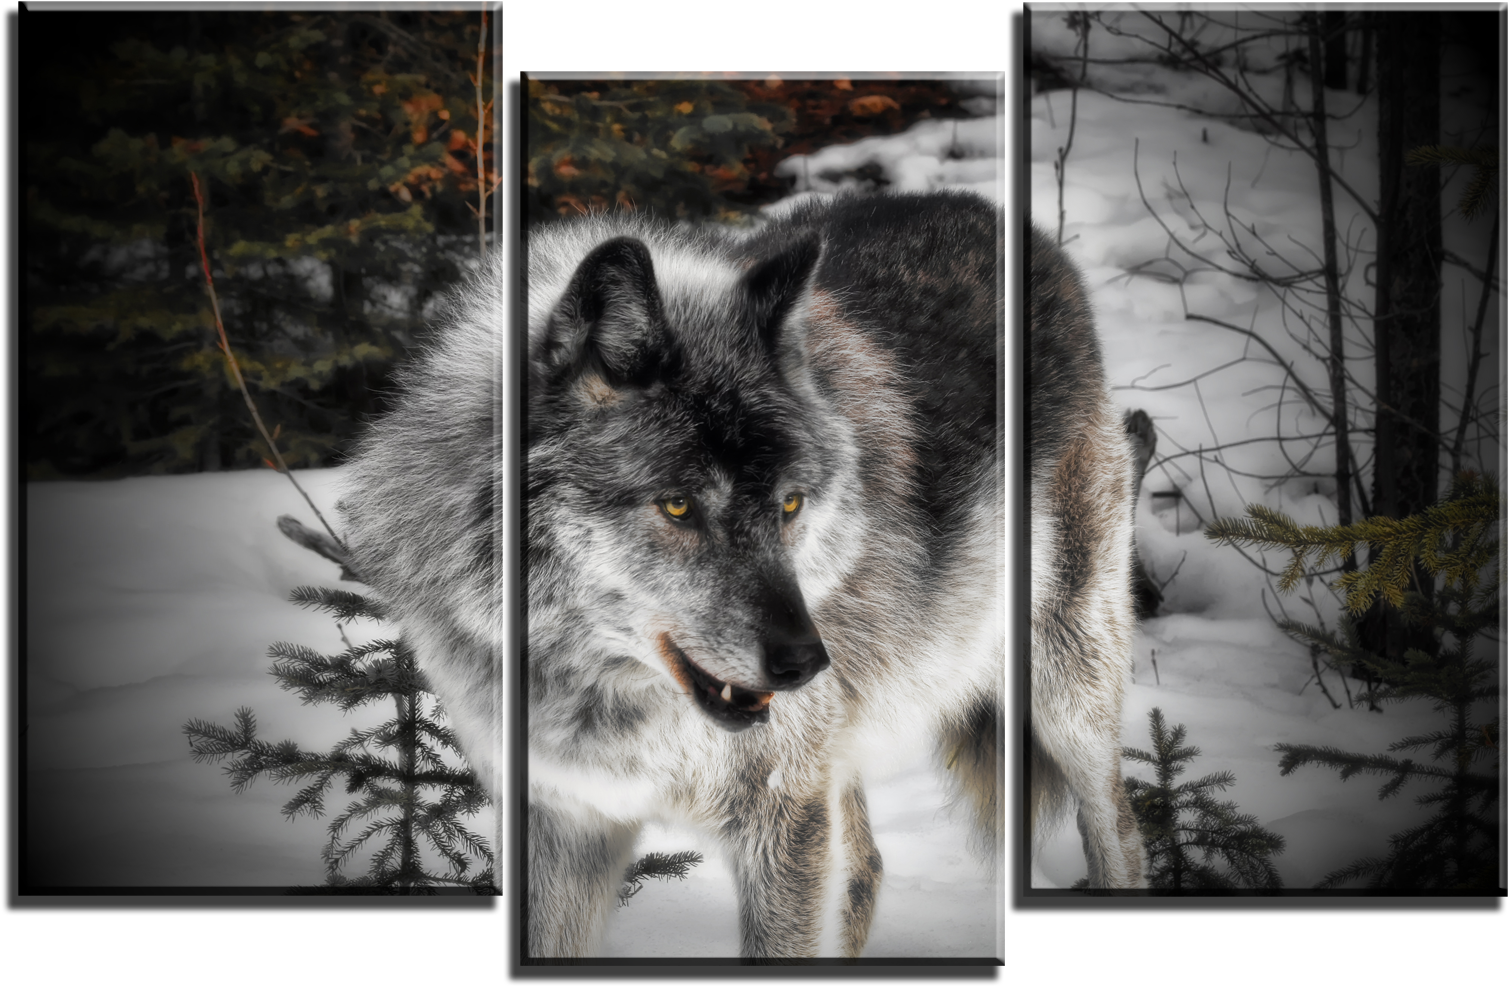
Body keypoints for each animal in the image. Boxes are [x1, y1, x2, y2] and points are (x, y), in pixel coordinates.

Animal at [341, 190, 1003, 955]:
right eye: (679, 505)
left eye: (791, 504)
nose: (807, 663)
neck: (607, 704)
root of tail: (974, 206)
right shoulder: (556, 821)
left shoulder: (786, 820)